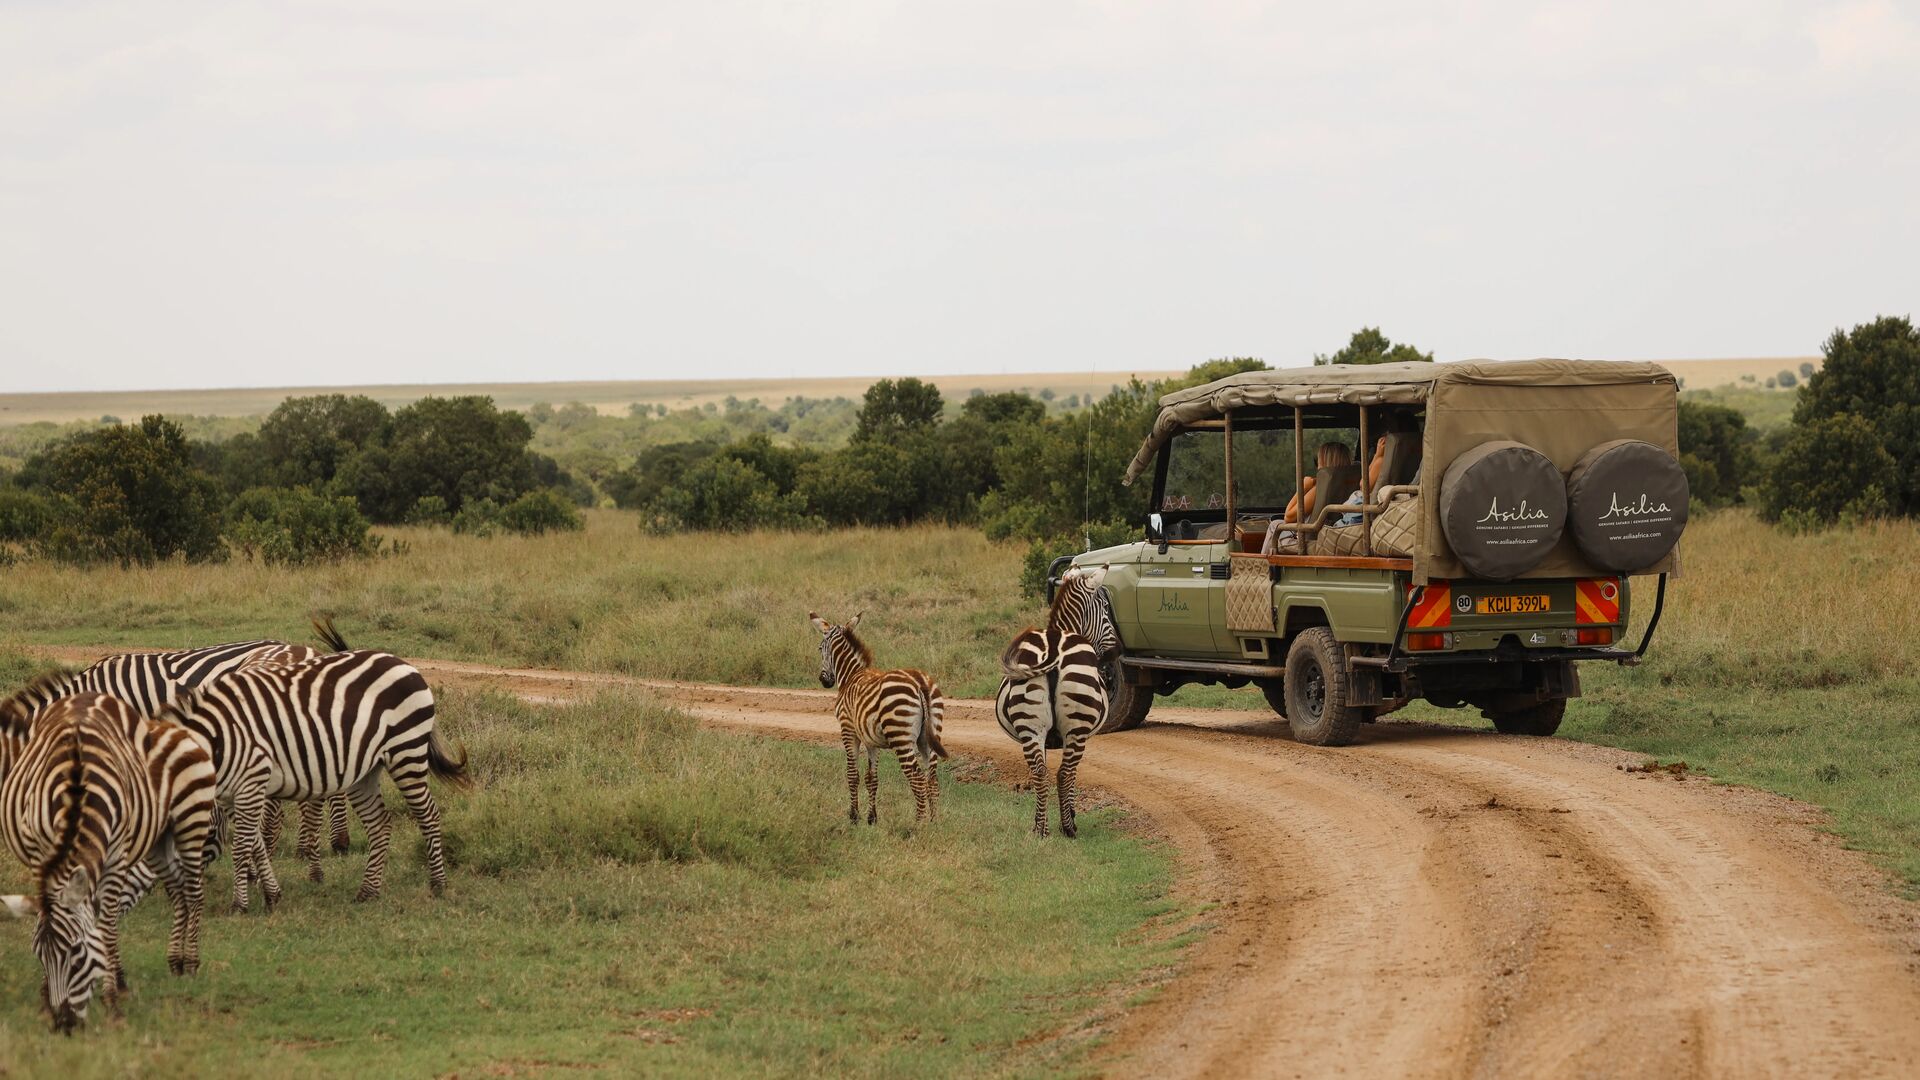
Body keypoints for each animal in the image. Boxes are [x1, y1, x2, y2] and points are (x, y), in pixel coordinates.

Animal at [0, 685, 217, 1032]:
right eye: (38, 955)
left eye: (77, 952)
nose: (64, 1024)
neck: (76, 790)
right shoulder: (40, 851)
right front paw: (45, 1001)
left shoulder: (115, 855)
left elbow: (107, 923)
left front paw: (112, 1001)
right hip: (158, 840)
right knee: (179, 893)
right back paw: (176, 962)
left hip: (191, 821)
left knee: (195, 893)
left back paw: (192, 964)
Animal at [154, 649, 471, 906]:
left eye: (201, 834)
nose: (170, 893)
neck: (221, 739)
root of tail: (403, 663)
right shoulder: (233, 794)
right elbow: (255, 843)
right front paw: (271, 894)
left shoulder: (251, 781)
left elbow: (243, 845)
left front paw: (239, 905)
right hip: (366, 770)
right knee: (380, 823)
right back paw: (368, 892)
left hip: (407, 749)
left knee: (428, 814)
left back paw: (438, 884)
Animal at [809, 612, 946, 825]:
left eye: (820, 648)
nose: (824, 681)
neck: (850, 674)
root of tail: (919, 682)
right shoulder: (871, 740)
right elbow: (871, 778)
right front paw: (872, 818)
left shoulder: (848, 730)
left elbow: (852, 774)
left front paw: (854, 817)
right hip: (928, 738)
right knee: (932, 779)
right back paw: (933, 823)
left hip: (901, 737)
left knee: (917, 778)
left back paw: (918, 825)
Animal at [994, 568, 1115, 838]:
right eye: (1104, 607)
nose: (1116, 651)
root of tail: (1052, 647)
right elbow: (1073, 775)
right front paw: (1071, 815)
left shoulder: (1046, 738)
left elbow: (1041, 770)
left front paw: (1040, 821)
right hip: (1077, 727)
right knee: (1064, 772)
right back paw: (1068, 828)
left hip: (1030, 725)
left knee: (1040, 773)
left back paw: (1041, 830)